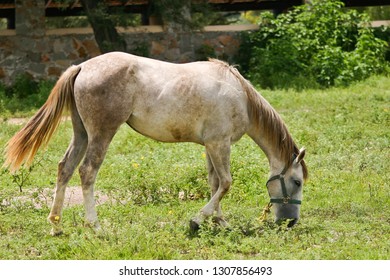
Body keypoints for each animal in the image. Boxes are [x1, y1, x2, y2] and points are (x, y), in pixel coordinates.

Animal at [3, 51, 308, 235]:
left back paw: (56, 225)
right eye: (297, 182)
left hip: (81, 133)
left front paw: (219, 222)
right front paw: (198, 221)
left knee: (64, 169)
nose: (290, 222)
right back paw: (96, 226)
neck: (240, 96)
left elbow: (215, 184)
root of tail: (82, 67)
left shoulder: (211, 146)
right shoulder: (220, 144)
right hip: (101, 134)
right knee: (87, 171)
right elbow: (226, 183)